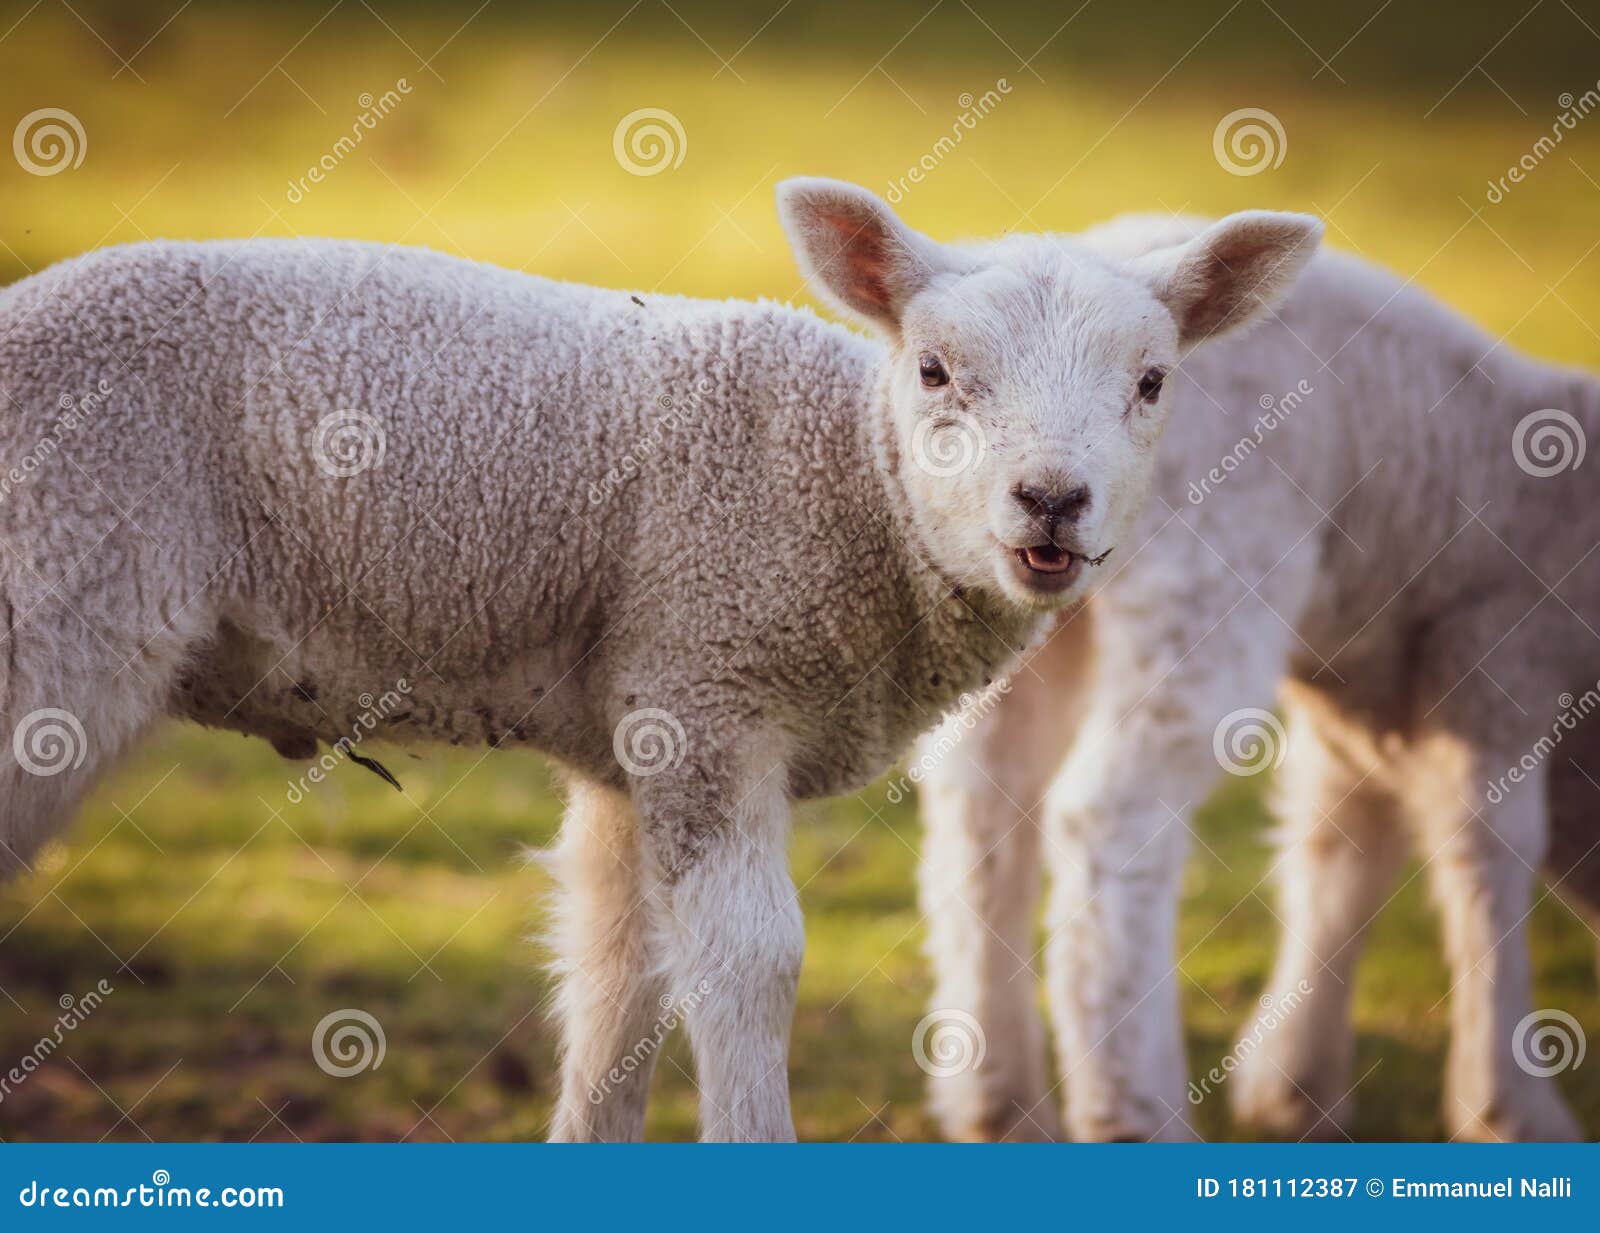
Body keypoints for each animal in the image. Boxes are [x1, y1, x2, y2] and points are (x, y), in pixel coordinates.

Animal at [0, 180, 1320, 1140]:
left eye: (1151, 383)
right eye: (936, 372)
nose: (1050, 502)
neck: (856, 491)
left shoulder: (629, 733)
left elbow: (617, 984)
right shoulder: (708, 686)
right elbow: (749, 964)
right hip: (51, 607)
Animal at [915, 213, 1600, 1144]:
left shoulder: (1365, 711)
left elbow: (1340, 850)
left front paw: (1296, 1082)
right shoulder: (1497, 655)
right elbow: (1488, 851)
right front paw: (1511, 1104)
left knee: (982, 804)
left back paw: (1000, 1104)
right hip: (1206, 581)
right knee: (1108, 820)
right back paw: (1136, 1111)